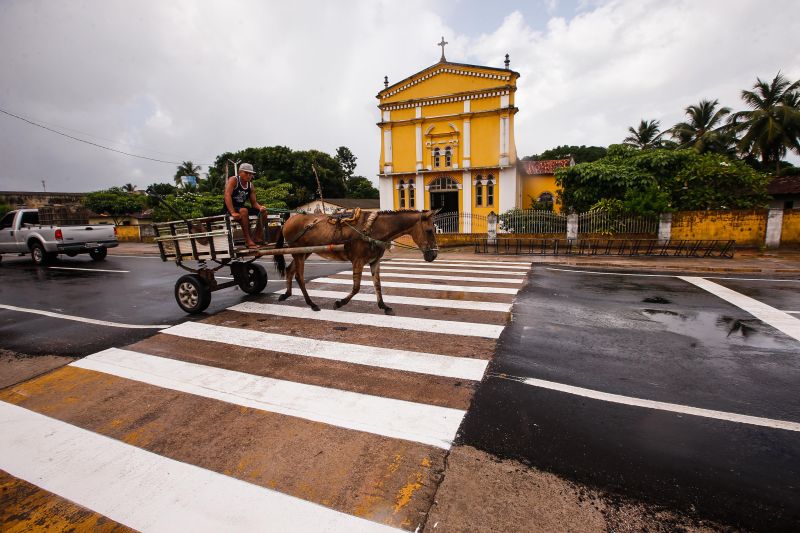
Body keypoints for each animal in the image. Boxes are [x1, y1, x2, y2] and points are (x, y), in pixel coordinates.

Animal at [274, 210, 438, 314]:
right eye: (429, 231)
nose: (434, 255)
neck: (373, 229)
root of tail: (288, 220)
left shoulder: (375, 261)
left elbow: (378, 285)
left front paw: (384, 306)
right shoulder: (358, 261)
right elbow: (356, 287)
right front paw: (339, 303)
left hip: (304, 252)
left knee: (290, 270)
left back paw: (286, 294)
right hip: (299, 252)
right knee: (299, 277)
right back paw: (312, 304)